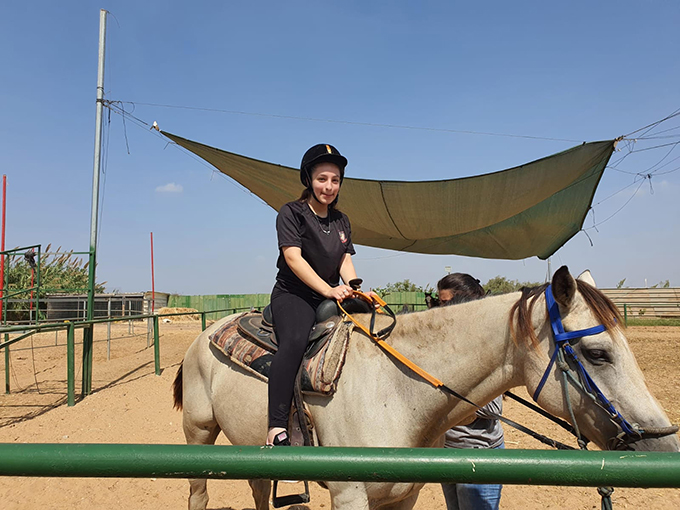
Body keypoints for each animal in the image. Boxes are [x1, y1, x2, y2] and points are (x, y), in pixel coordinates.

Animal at [173, 266, 676, 510]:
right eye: (597, 353)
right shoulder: (348, 495)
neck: (394, 391)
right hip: (198, 435)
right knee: (198, 495)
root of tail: (205, 333)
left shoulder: (403, 495)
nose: (664, 444)